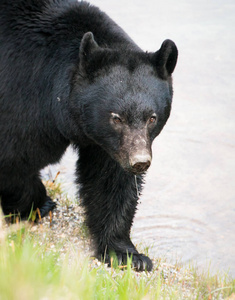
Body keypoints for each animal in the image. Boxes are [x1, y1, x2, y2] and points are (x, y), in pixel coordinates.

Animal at [0, 0, 176, 272]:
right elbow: (14, 157)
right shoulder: (22, 97)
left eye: (152, 117)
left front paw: (126, 254)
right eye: (116, 117)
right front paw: (38, 205)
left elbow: (110, 180)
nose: (139, 161)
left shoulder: (107, 145)